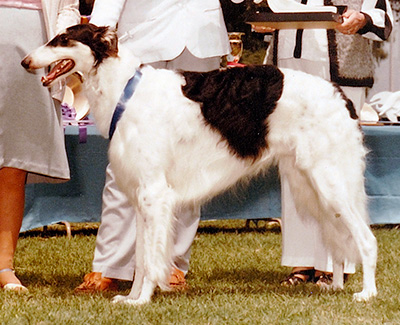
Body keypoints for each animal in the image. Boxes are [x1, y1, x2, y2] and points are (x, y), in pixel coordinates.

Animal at [21, 23, 378, 304]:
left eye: (62, 40)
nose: (25, 62)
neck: (125, 90)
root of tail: (339, 93)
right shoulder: (140, 196)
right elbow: (142, 256)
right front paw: (131, 298)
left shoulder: (154, 194)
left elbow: (151, 260)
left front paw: (143, 300)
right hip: (313, 185)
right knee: (338, 244)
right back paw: (334, 286)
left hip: (331, 182)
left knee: (366, 240)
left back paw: (367, 293)